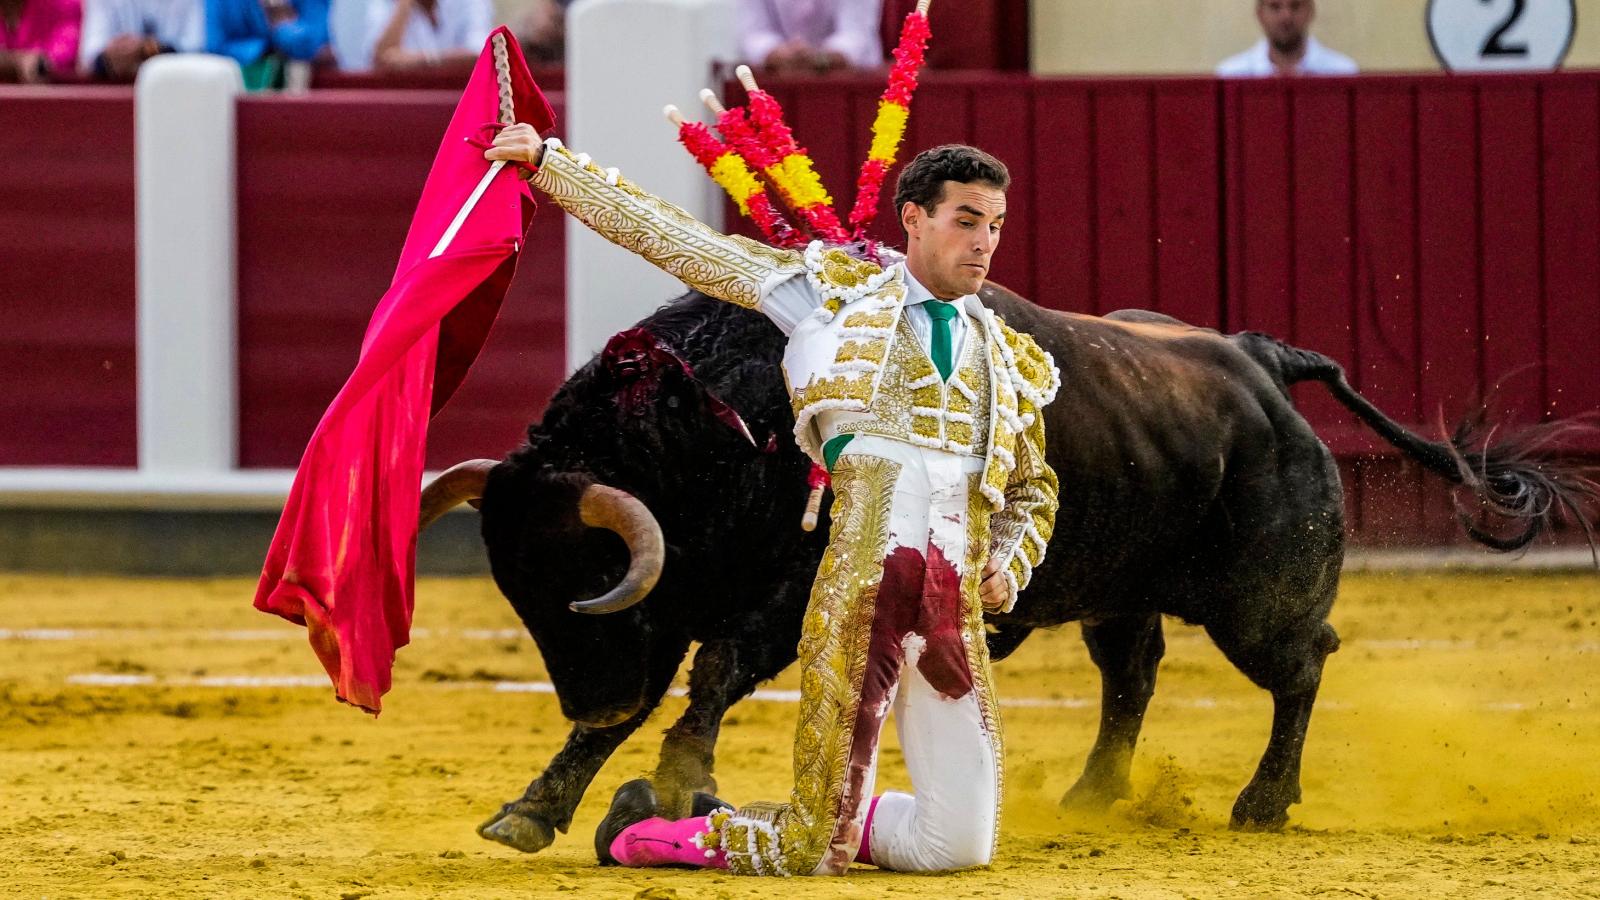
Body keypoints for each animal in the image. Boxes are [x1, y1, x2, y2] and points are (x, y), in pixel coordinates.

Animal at [419, 283, 1593, 851]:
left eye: (584, 587)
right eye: (523, 600)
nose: (586, 687)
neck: (716, 424)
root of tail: (1260, 362)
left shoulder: (773, 600)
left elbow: (714, 676)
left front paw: (668, 781)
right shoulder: (691, 605)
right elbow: (648, 703)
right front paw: (538, 807)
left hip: (1259, 598)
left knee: (1302, 663)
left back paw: (1262, 801)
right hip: (1120, 587)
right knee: (1133, 674)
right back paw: (1093, 792)